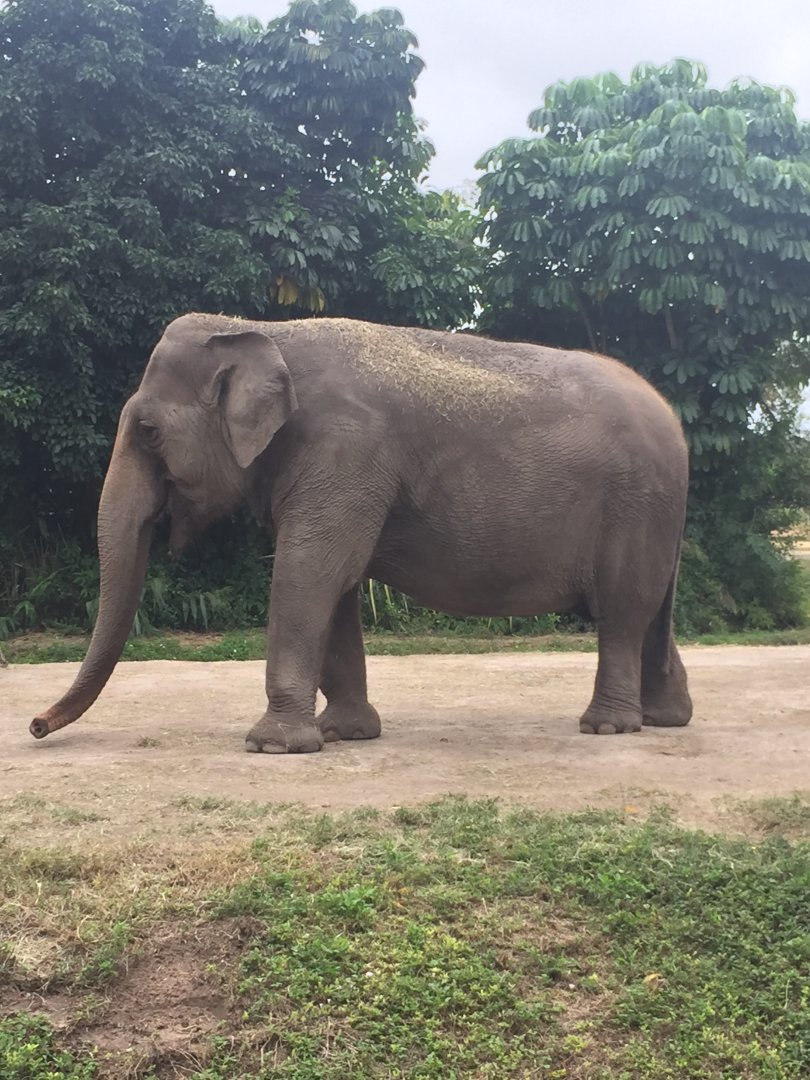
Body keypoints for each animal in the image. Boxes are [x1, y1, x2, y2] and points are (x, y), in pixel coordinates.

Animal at [30, 313, 693, 751]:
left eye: (148, 432)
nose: (35, 725)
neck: (262, 327)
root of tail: (675, 421)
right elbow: (338, 585)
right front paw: (345, 734)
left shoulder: (346, 451)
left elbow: (309, 570)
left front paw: (273, 746)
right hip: (657, 516)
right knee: (653, 612)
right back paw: (667, 719)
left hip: (637, 506)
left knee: (622, 613)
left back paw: (607, 727)